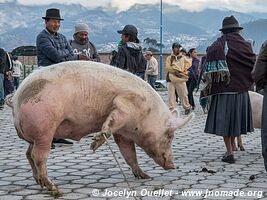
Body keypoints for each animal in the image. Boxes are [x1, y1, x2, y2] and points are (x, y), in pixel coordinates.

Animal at [5, 60, 193, 191]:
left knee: (28, 154)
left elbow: (129, 154)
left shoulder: (123, 133)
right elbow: (110, 124)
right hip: (44, 129)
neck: (147, 112)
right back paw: (51, 186)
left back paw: (39, 181)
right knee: (38, 156)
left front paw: (144, 176)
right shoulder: (123, 105)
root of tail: (16, 98)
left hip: (35, 135)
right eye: (170, 135)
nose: (173, 166)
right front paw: (93, 145)